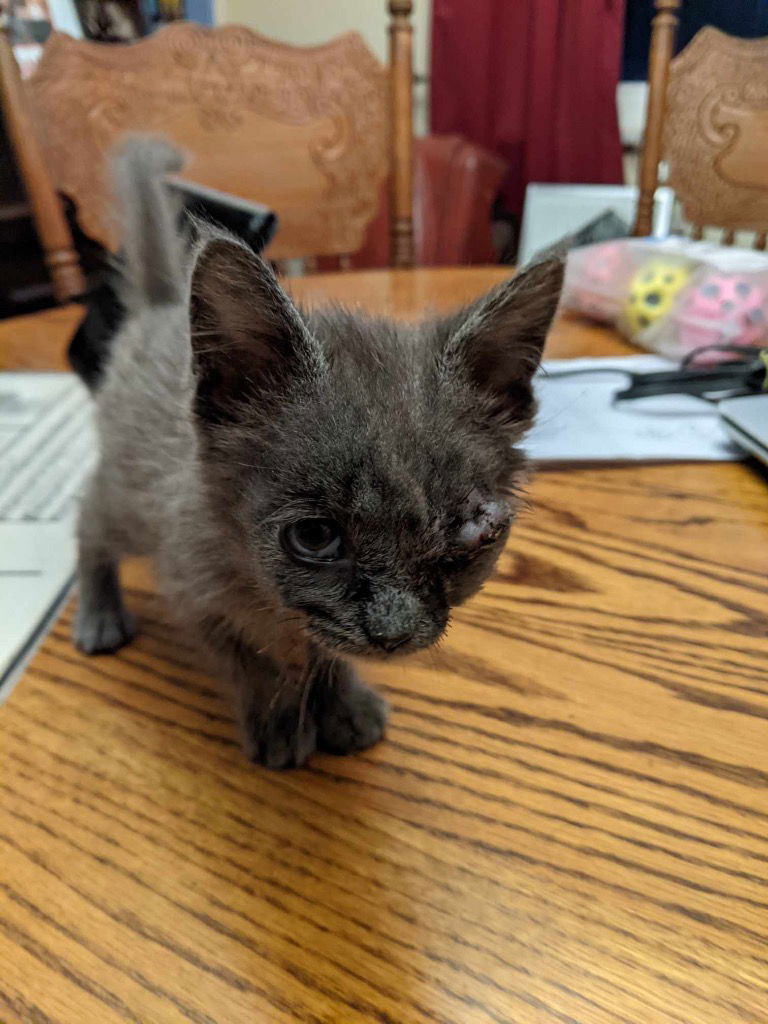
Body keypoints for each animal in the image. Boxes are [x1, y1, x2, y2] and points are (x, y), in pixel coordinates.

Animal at [73, 142, 565, 770]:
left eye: (470, 535)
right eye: (313, 537)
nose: (394, 631)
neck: (250, 576)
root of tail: (162, 309)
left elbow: (322, 645)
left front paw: (343, 707)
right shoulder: (191, 579)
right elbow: (251, 658)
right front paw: (280, 720)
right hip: (126, 490)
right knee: (89, 520)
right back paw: (100, 614)